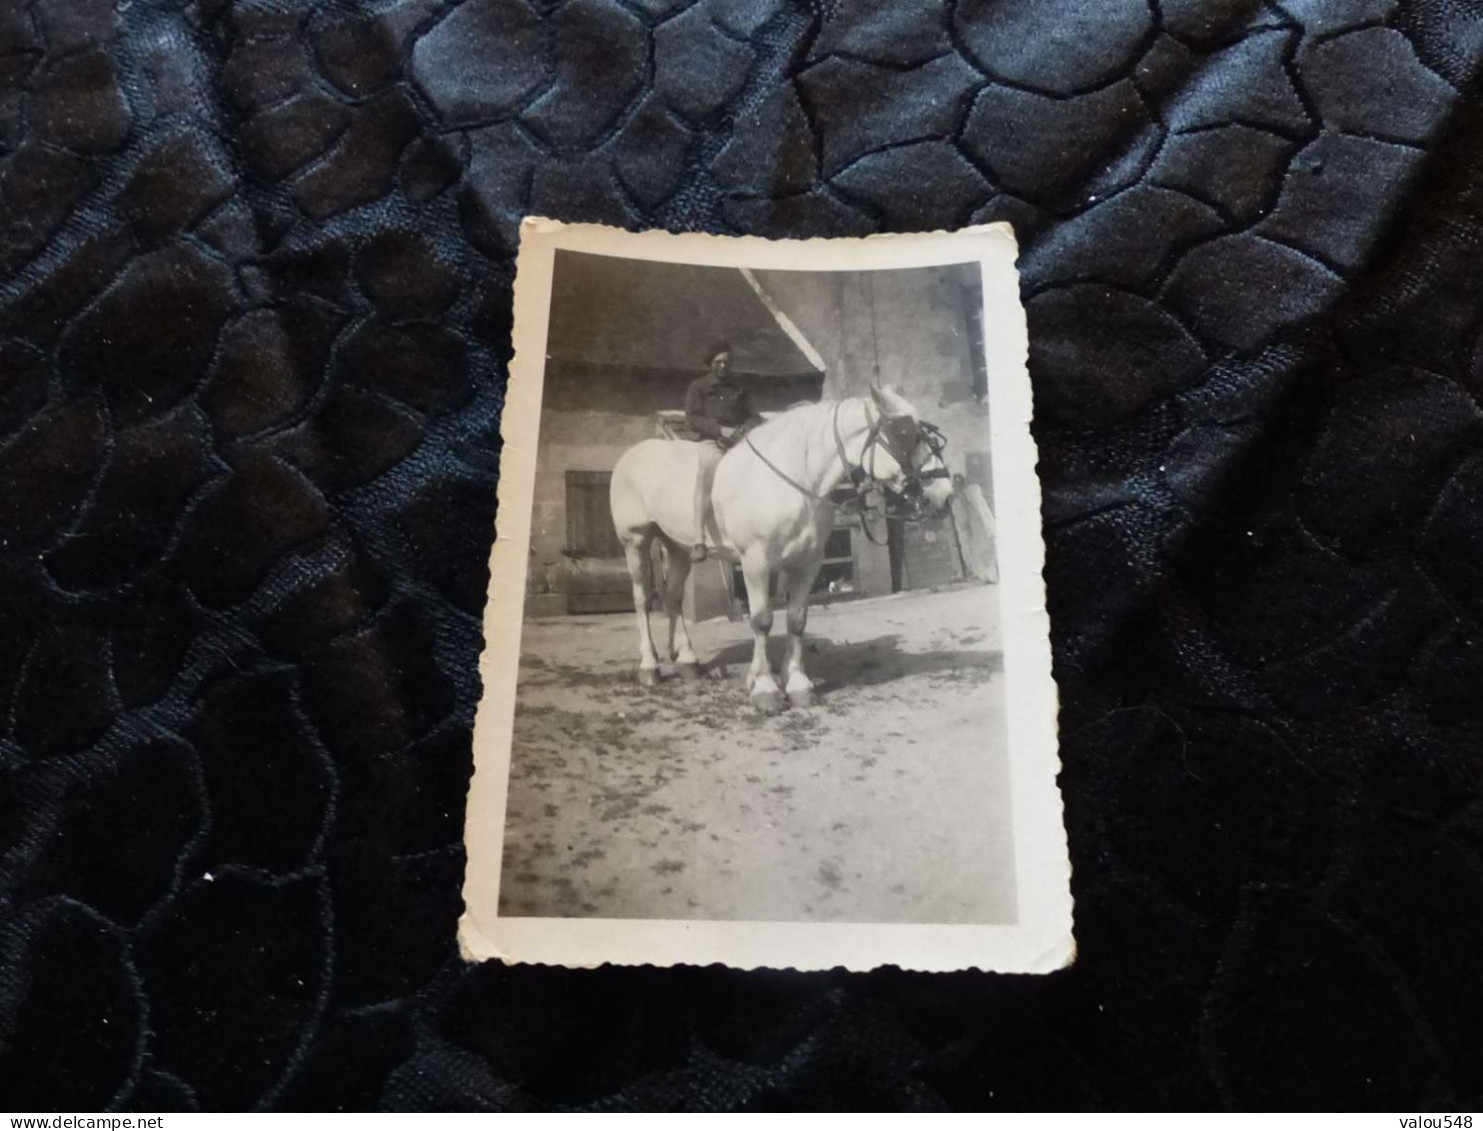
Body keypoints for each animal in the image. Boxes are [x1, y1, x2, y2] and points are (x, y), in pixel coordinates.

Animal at [610, 385, 949, 711]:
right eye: (903, 433)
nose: (944, 494)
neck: (793, 481)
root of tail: (632, 455)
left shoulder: (807, 563)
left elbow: (796, 621)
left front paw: (796, 685)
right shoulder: (755, 562)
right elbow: (761, 620)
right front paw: (765, 689)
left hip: (677, 546)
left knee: (674, 598)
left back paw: (687, 661)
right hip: (635, 540)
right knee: (642, 600)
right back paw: (649, 667)